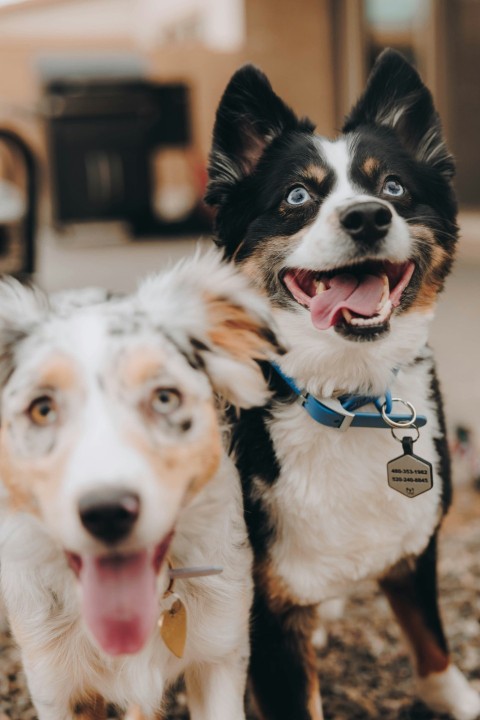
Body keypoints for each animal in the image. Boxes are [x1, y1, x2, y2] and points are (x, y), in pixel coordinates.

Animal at [206, 49, 480, 720]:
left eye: (393, 188)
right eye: (297, 195)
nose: (367, 216)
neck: (348, 397)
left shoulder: (417, 552)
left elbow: (432, 647)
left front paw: (457, 696)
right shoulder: (267, 615)